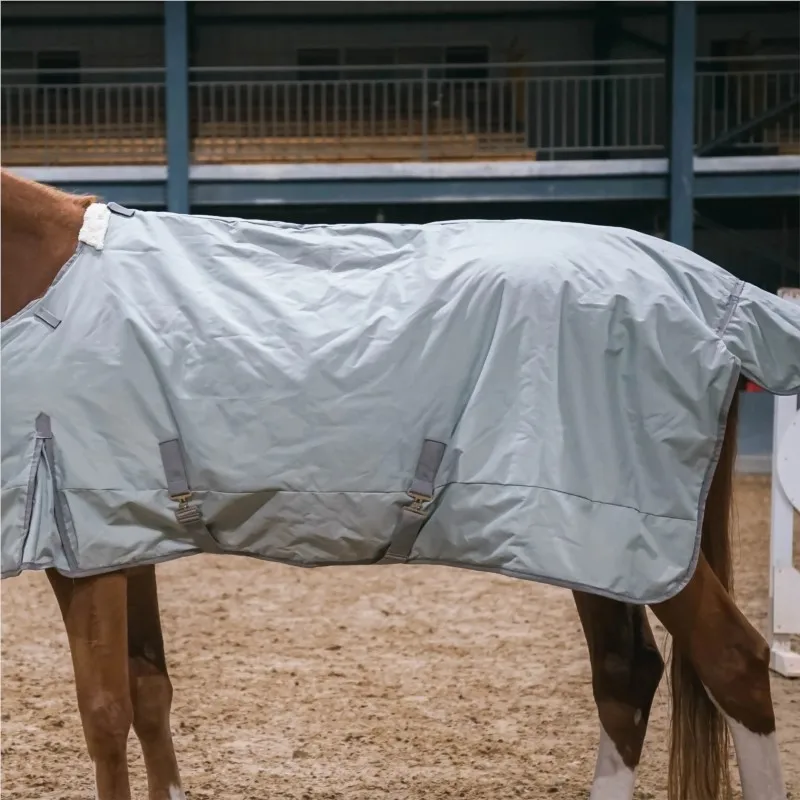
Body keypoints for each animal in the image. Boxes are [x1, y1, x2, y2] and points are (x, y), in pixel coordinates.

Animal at [0, 168, 788, 800]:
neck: (51, 278)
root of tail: (719, 299)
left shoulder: (80, 548)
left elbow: (105, 712)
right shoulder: (121, 538)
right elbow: (149, 691)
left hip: (640, 539)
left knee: (735, 663)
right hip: (598, 547)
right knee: (625, 676)